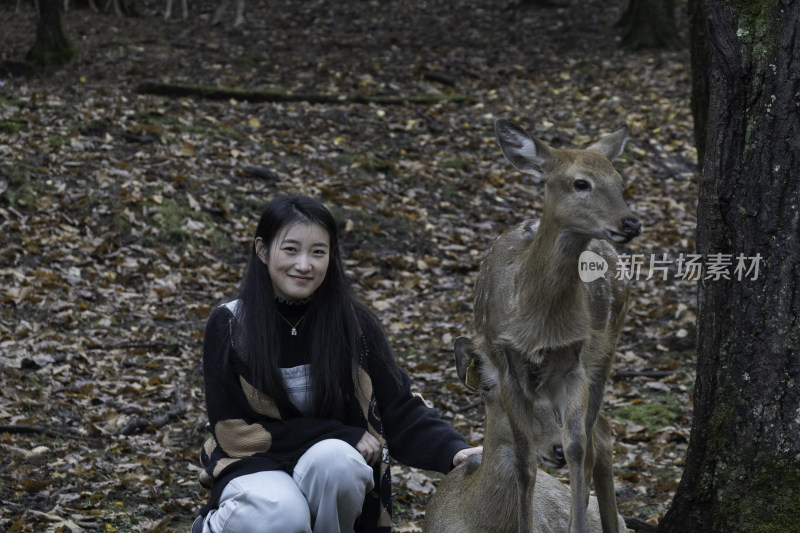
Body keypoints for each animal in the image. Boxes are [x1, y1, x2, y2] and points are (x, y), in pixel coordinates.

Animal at [446, 120, 640, 532]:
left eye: (619, 180)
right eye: (580, 182)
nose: (631, 222)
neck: (538, 324)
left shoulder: (575, 361)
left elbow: (577, 447)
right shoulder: (505, 367)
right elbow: (524, 462)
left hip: (605, 349)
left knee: (596, 438)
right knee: (600, 432)